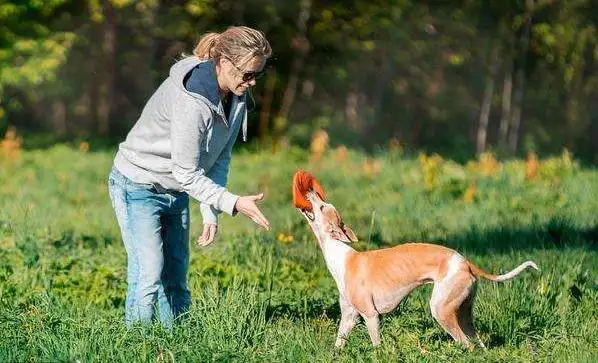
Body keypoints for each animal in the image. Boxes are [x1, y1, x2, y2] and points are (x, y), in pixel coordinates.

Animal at [292, 171, 540, 350]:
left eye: (322, 206)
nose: (310, 190)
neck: (341, 255)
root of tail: (465, 262)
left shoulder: (371, 316)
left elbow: (376, 346)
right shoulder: (348, 318)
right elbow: (338, 345)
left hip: (441, 310)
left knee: (466, 345)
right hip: (464, 313)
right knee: (478, 343)